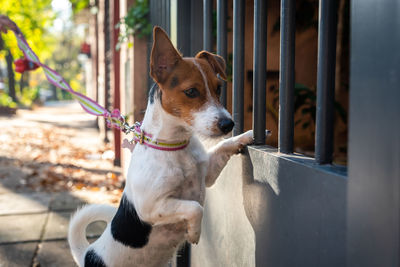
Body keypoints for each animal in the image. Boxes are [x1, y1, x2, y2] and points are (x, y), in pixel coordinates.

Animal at [68, 25, 268, 267]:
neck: (176, 146)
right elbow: (195, 208)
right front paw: (194, 232)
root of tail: (88, 254)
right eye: (191, 92)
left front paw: (248, 135)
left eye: (219, 88)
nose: (228, 124)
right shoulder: (151, 207)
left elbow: (224, 145)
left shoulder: (207, 174)